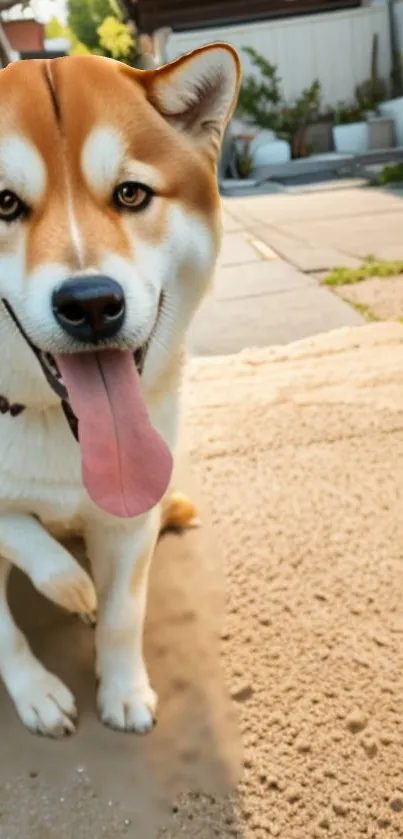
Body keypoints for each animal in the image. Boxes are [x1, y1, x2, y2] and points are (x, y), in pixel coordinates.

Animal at [0, 44, 240, 736]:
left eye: (131, 194)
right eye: (3, 204)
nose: (91, 304)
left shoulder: (129, 519)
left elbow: (123, 615)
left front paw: (124, 692)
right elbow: (15, 550)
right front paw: (37, 687)